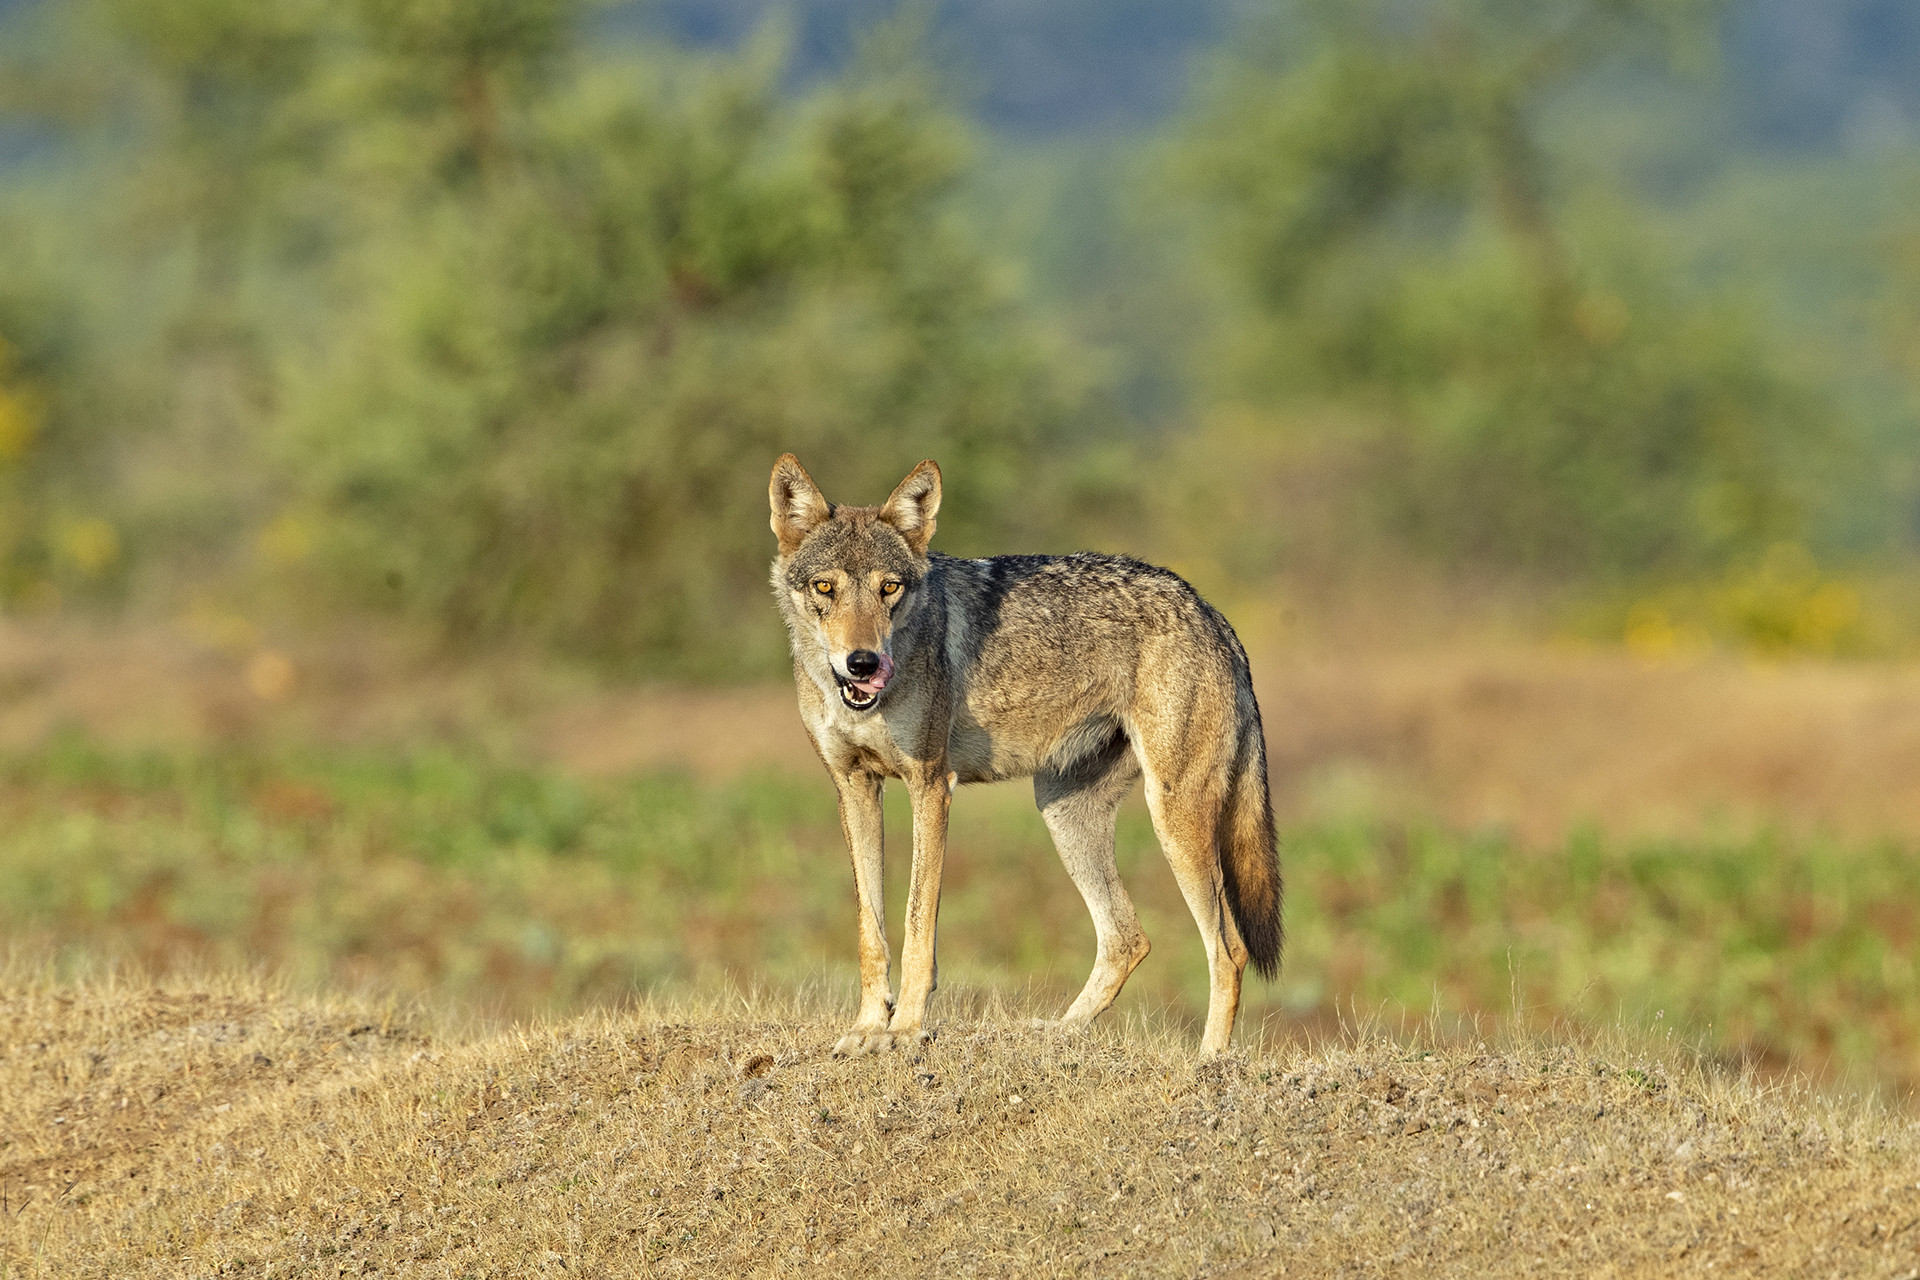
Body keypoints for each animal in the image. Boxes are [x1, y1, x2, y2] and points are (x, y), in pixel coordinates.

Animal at [769, 454, 1281, 1057]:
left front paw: (907, 1030)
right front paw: (870, 1028)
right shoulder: (854, 788)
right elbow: (870, 930)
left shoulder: (930, 786)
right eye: (825, 587)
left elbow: (918, 927)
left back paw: (1208, 1061)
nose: (862, 663)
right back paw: (1060, 1033)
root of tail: (1212, 613)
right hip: (1062, 812)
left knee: (1228, 950)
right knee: (1128, 938)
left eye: (889, 587)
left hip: (1174, 819)